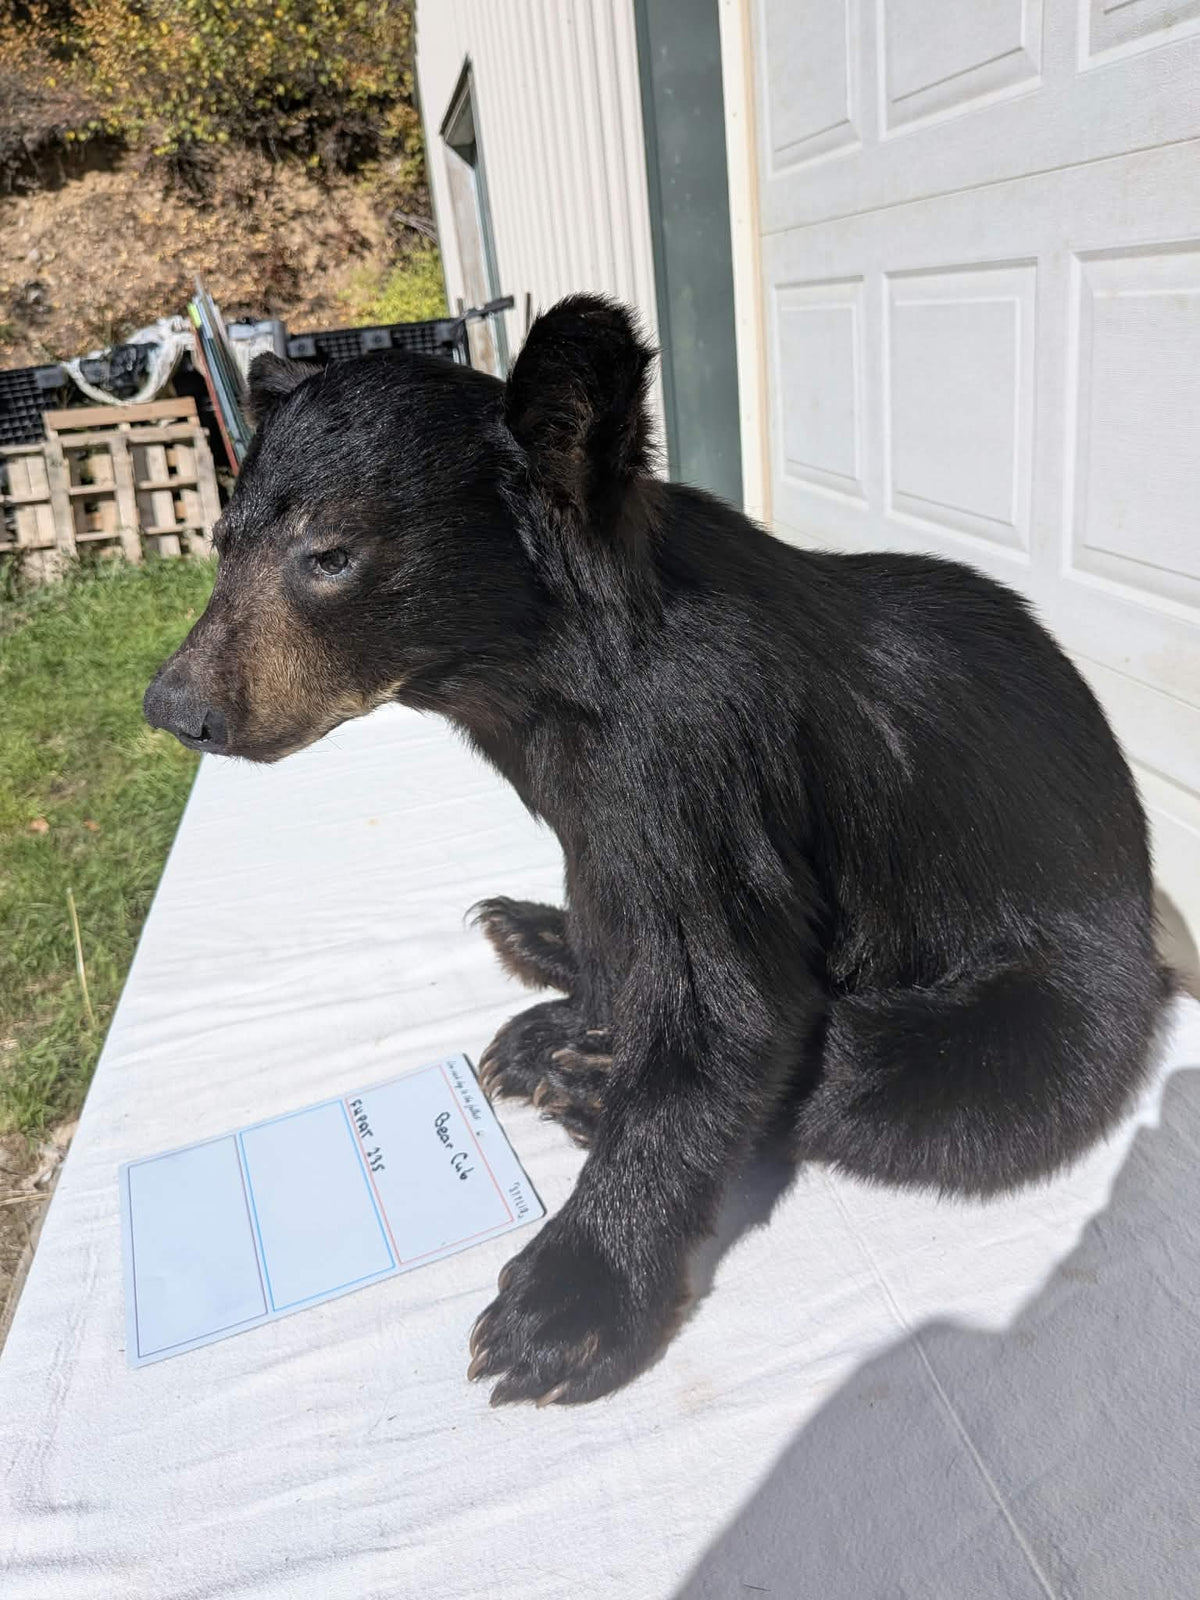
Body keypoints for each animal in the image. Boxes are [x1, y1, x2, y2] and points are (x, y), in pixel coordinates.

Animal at [144, 295, 1169, 1406]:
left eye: (329, 553)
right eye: (221, 539)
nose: (177, 707)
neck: (536, 690)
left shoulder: (702, 750)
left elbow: (727, 1000)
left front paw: (562, 1302)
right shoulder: (594, 798)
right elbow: (620, 911)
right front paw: (559, 1011)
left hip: (1056, 987)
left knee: (927, 1079)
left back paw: (592, 1087)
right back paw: (528, 942)